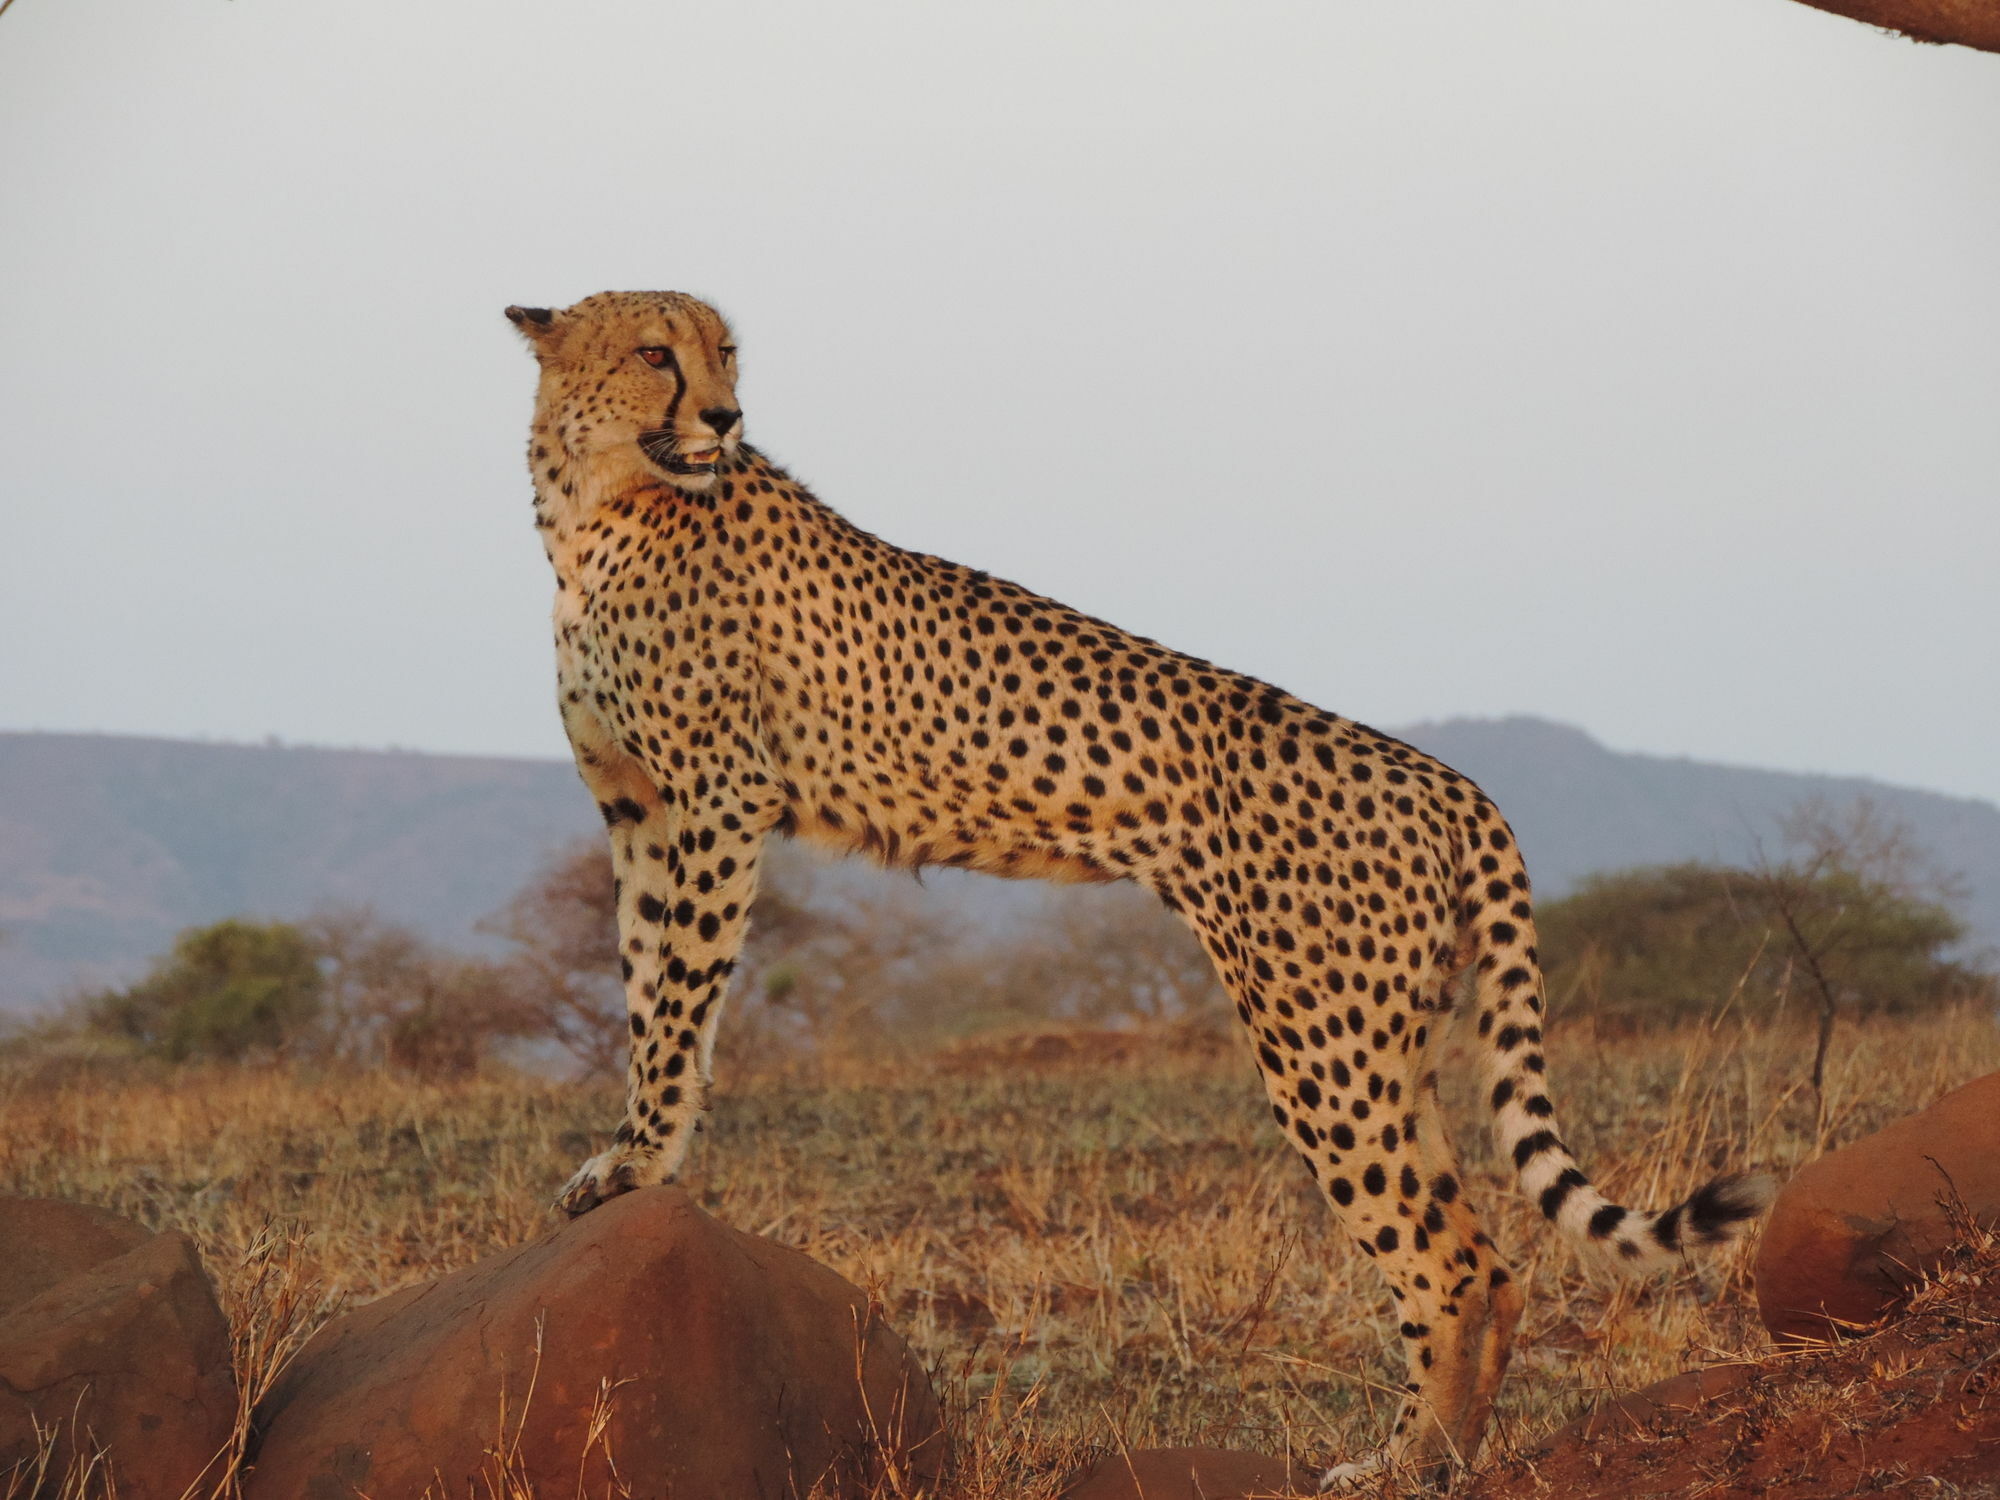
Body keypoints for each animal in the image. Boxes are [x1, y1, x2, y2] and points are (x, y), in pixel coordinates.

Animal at [508, 290, 1776, 1480]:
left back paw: (1404, 1467)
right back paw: (1434, 1456)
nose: (726, 418)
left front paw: (636, 1161)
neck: (596, 503)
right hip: (1389, 1038)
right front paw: (634, 1157)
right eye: (657, 353)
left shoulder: (717, 799)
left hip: (1320, 1043)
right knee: (1488, 1259)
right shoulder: (636, 810)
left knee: (1445, 1264)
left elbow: (679, 999)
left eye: (725, 353)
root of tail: (1447, 778)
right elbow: (645, 983)